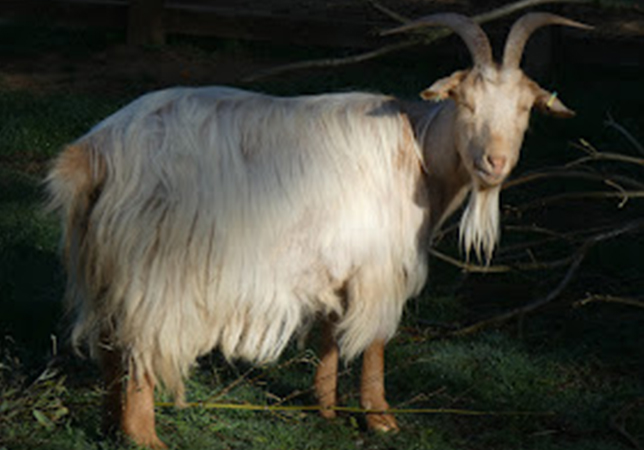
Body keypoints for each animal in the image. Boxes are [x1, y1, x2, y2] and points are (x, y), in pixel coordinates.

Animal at [46, 13, 590, 448]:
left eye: (524, 107)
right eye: (466, 103)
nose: (494, 163)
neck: (417, 150)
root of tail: (96, 152)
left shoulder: (335, 264)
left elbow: (330, 332)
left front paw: (325, 409)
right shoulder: (380, 266)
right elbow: (375, 343)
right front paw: (381, 420)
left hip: (104, 264)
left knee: (110, 347)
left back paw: (109, 425)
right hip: (156, 269)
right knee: (139, 349)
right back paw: (144, 437)